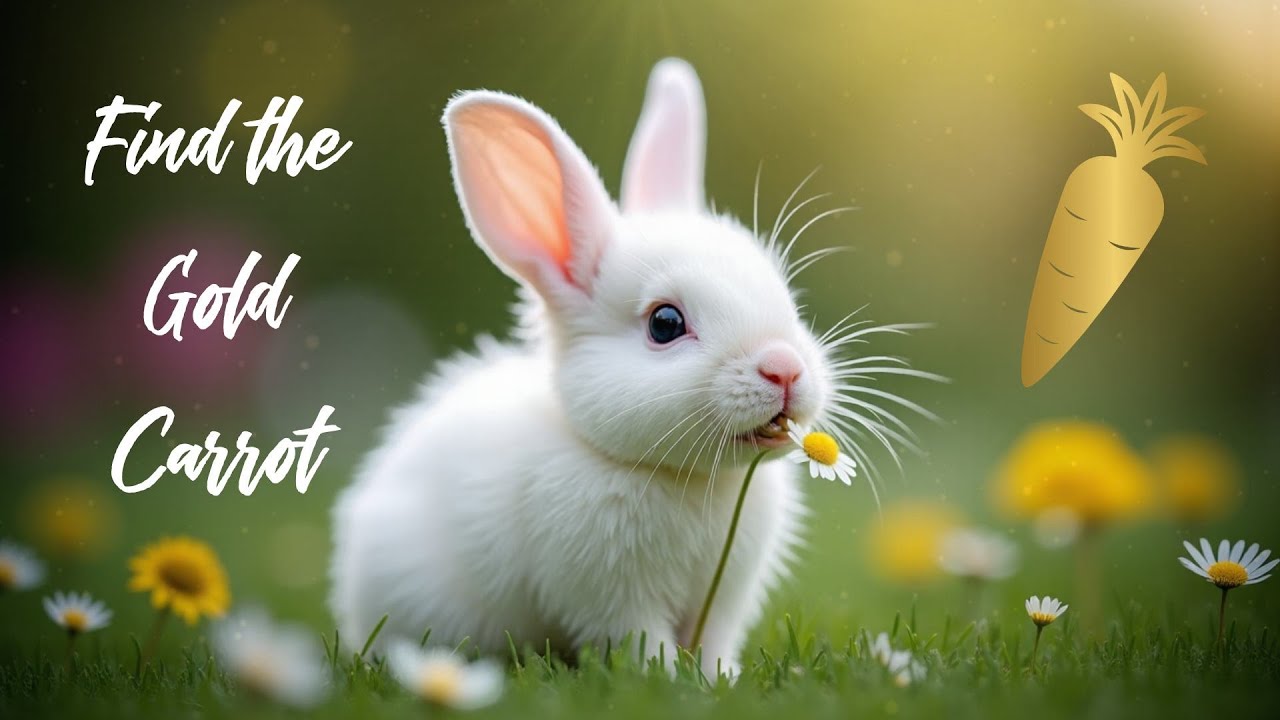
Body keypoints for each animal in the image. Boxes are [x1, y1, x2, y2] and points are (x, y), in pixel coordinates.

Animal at [330, 57, 901, 679]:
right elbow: (641, 642)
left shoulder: (724, 601)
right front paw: (671, 679)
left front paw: (718, 679)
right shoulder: (610, 599)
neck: (684, 480)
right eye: (665, 323)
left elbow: (714, 641)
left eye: (786, 297)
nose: (785, 370)